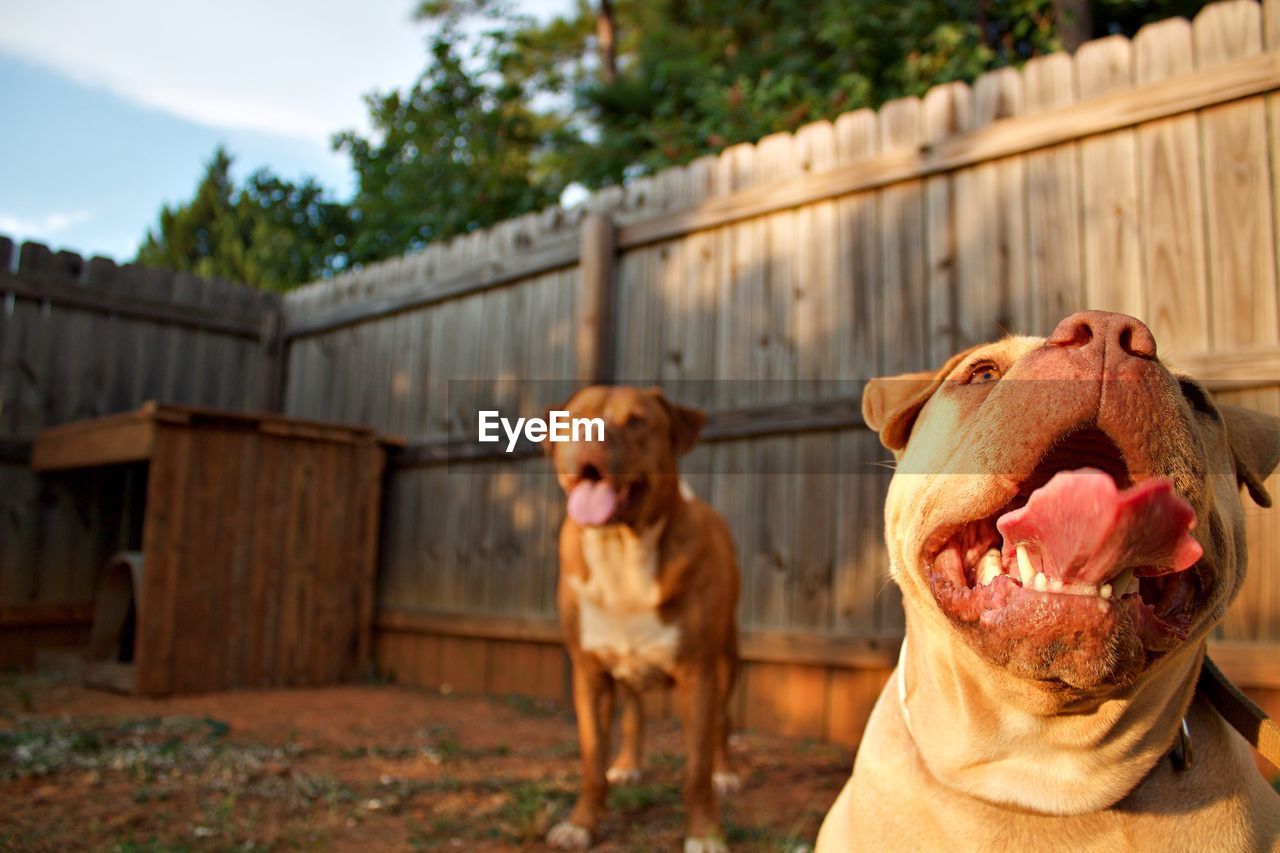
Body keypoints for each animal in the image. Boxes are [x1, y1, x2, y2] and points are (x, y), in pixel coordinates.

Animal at [542, 384, 742, 850]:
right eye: (573, 419)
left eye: (636, 421)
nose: (590, 436)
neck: (621, 551)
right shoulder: (590, 675)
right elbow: (592, 760)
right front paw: (582, 824)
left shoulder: (698, 674)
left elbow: (696, 768)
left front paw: (704, 832)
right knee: (634, 712)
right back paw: (628, 763)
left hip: (727, 658)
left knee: (723, 722)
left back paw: (725, 772)